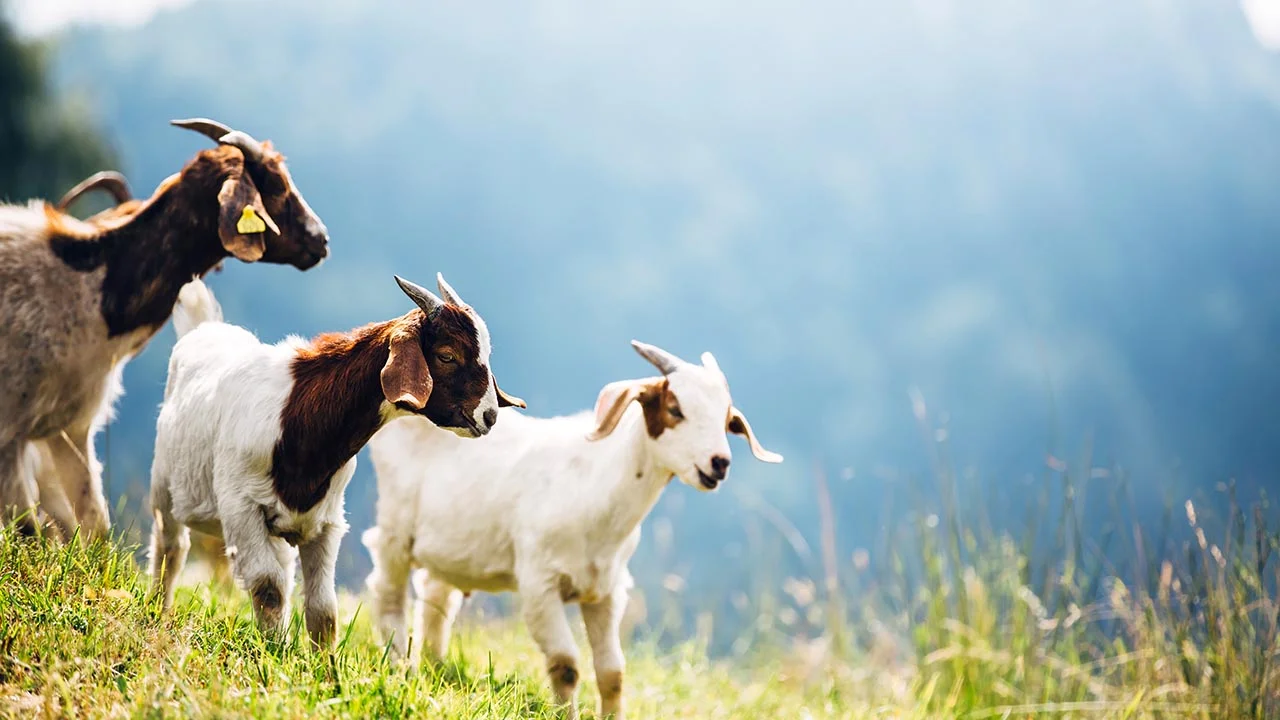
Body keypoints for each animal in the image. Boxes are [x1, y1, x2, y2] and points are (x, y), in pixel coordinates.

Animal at [0, 118, 331, 540]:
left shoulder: (69, 426)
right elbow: (28, 527)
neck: (88, 286)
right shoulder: (10, 428)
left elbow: (93, 521)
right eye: (274, 184)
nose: (321, 239)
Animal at [147, 274, 524, 649]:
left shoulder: (326, 521)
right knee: (171, 547)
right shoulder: (240, 507)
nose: (489, 416)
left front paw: (319, 663)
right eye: (447, 355)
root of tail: (204, 327)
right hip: (165, 484)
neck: (299, 419)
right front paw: (273, 650)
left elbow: (323, 608)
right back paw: (156, 610)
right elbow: (268, 586)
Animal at [363, 340, 782, 718]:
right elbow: (566, 665)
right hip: (395, 527)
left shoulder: (607, 590)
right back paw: (398, 665)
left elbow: (613, 672)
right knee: (387, 591)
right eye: (675, 409)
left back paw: (434, 668)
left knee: (436, 596)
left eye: (727, 420)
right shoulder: (539, 584)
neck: (595, 491)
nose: (719, 463)